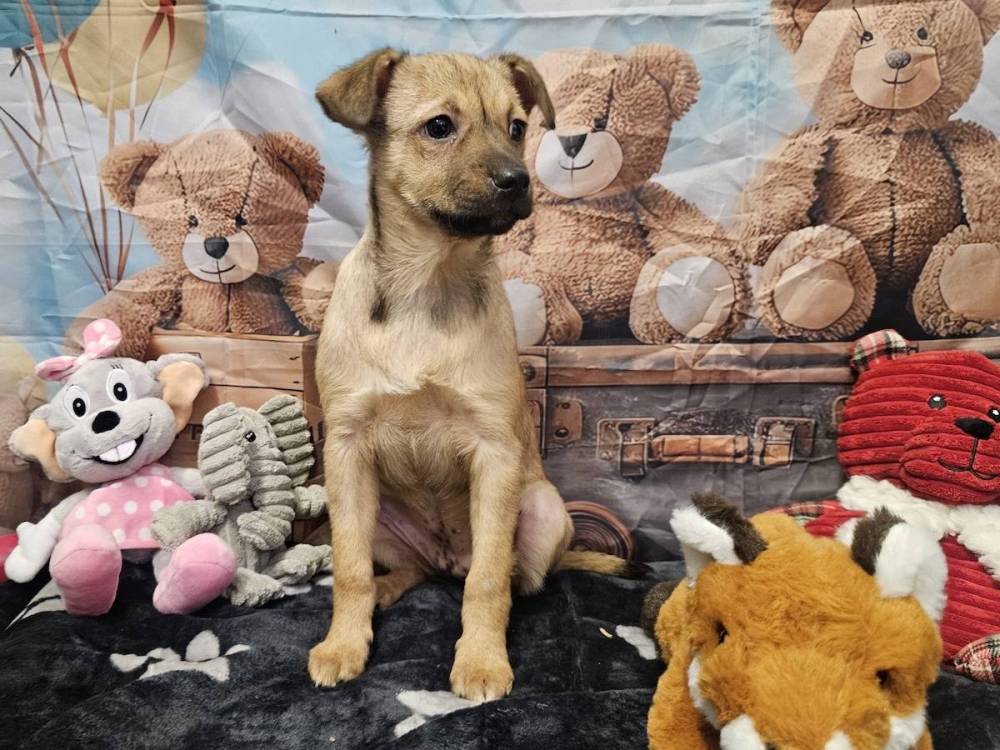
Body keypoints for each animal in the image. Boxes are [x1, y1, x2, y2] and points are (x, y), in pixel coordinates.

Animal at [308, 48, 643, 702]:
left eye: (517, 127)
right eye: (440, 126)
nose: (518, 181)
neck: (428, 284)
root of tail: (446, 559)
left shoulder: (494, 451)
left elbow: (487, 581)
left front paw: (483, 660)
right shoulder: (347, 449)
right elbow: (350, 570)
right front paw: (342, 644)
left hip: (543, 508)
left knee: (510, 576)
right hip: (366, 509)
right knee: (408, 567)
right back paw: (388, 591)